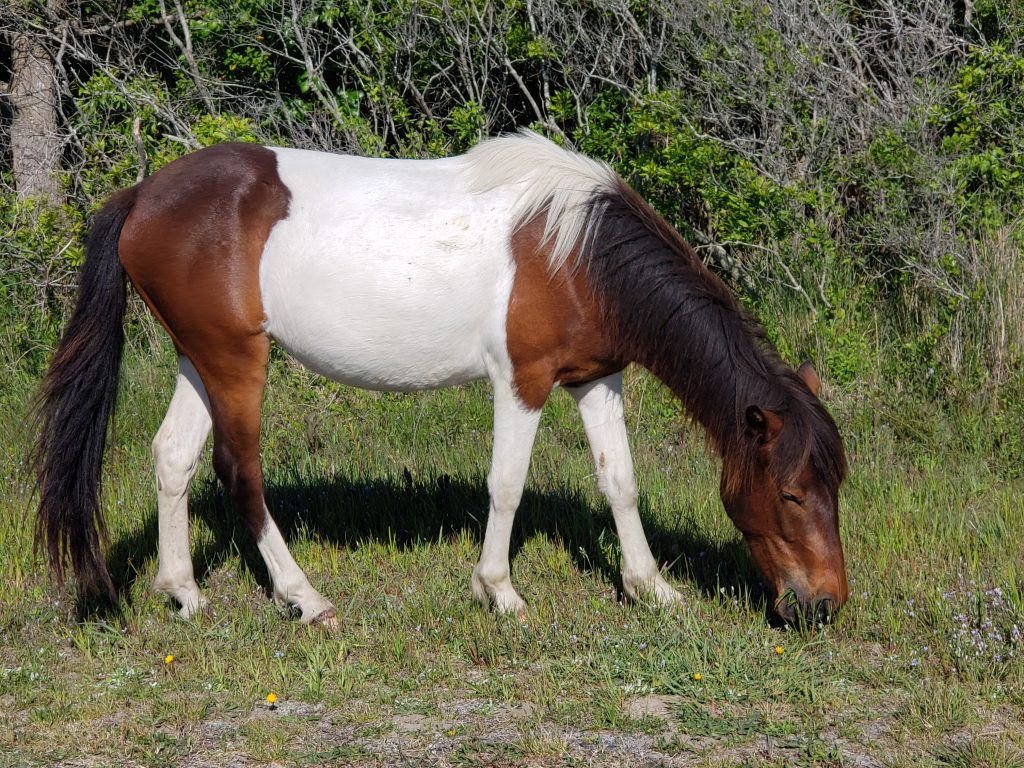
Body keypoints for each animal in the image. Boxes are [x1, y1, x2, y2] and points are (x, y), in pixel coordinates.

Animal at [33, 131, 848, 627]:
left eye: (835, 487)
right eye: (790, 493)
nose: (825, 604)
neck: (581, 252)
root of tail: (141, 196)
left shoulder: (596, 379)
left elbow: (619, 481)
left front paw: (651, 587)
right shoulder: (523, 381)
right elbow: (507, 484)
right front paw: (500, 591)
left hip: (200, 357)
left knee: (173, 457)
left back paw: (185, 593)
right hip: (237, 364)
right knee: (240, 472)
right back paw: (306, 598)